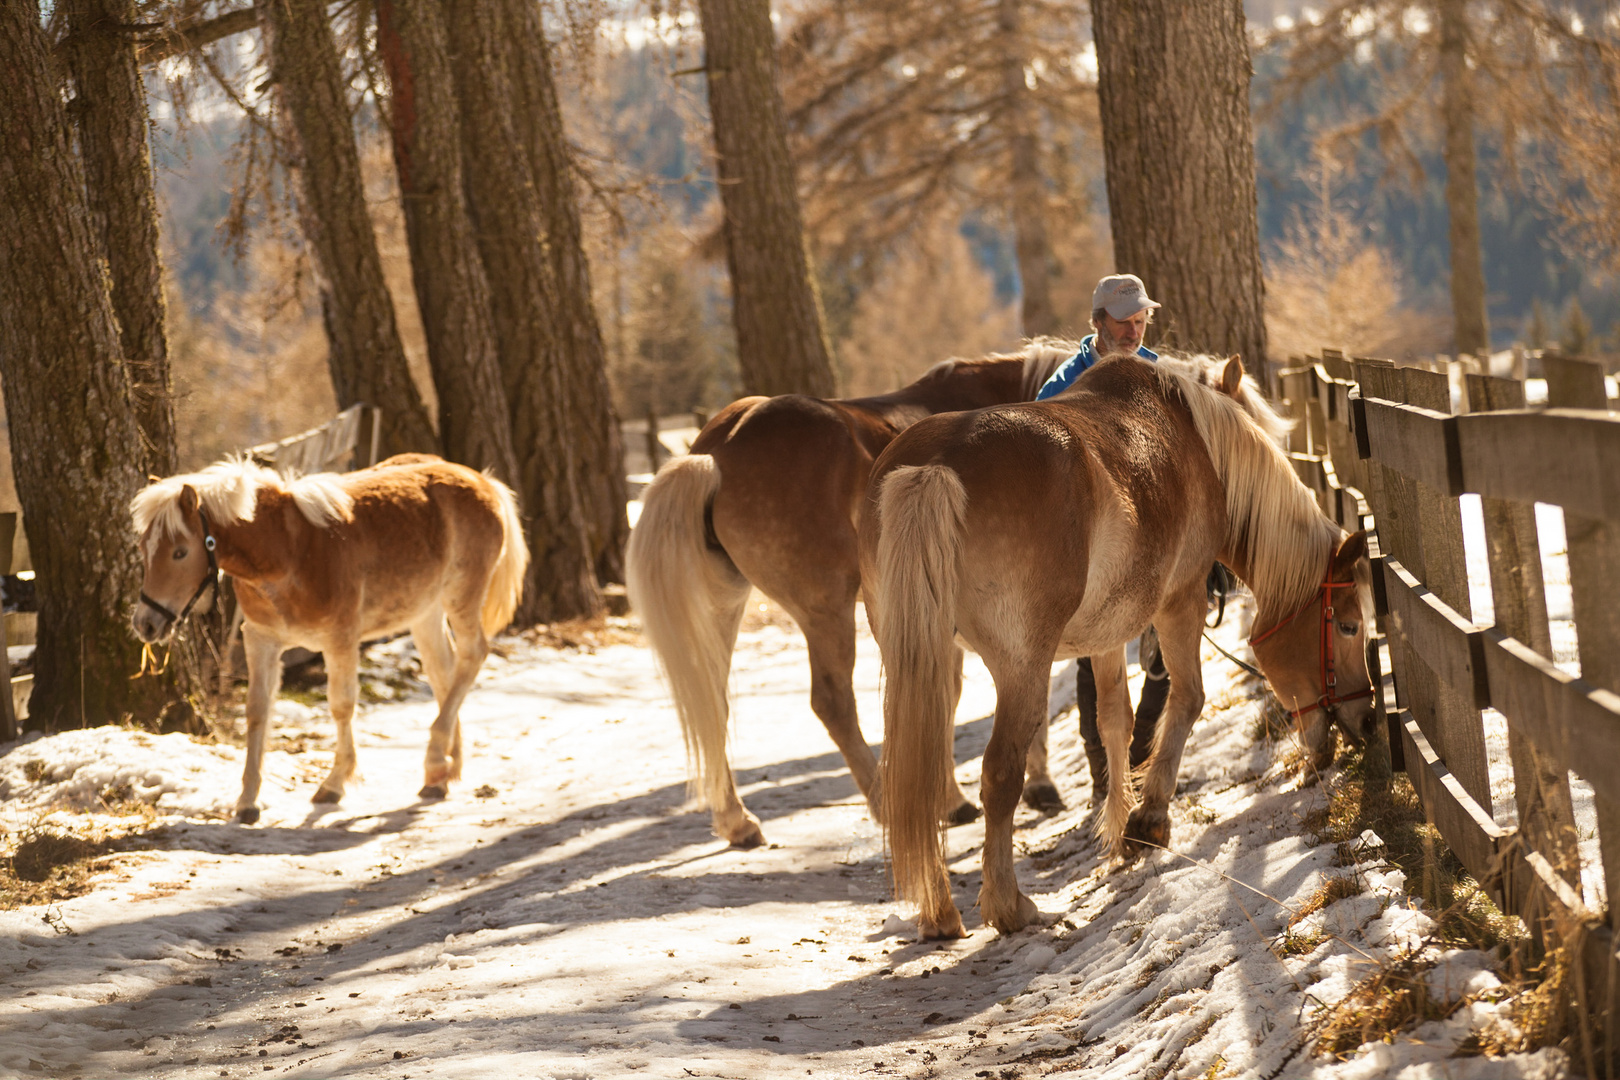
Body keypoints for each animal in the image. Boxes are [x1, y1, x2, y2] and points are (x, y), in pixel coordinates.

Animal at [134, 453, 524, 819]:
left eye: (180, 552)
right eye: (144, 547)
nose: (145, 623)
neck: (289, 551)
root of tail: (483, 481)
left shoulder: (340, 640)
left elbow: (340, 706)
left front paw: (334, 784)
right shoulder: (261, 641)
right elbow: (257, 710)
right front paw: (247, 801)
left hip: (462, 598)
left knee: (472, 656)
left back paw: (435, 760)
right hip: (425, 613)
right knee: (444, 673)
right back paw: (444, 771)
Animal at [625, 341, 1082, 848]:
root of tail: (717, 450)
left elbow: (941, 693)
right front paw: (1032, 784)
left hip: (726, 602)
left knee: (714, 702)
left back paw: (737, 821)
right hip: (826, 608)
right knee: (833, 702)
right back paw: (881, 802)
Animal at [855, 354, 1373, 939]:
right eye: (1349, 625)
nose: (1366, 717)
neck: (1198, 443)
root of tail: (935, 467)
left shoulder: (1104, 636)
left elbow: (1115, 724)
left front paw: (1118, 828)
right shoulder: (1181, 602)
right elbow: (1187, 700)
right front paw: (1148, 821)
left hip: (928, 661)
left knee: (922, 777)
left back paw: (940, 912)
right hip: (1021, 668)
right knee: (1001, 773)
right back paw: (1010, 907)